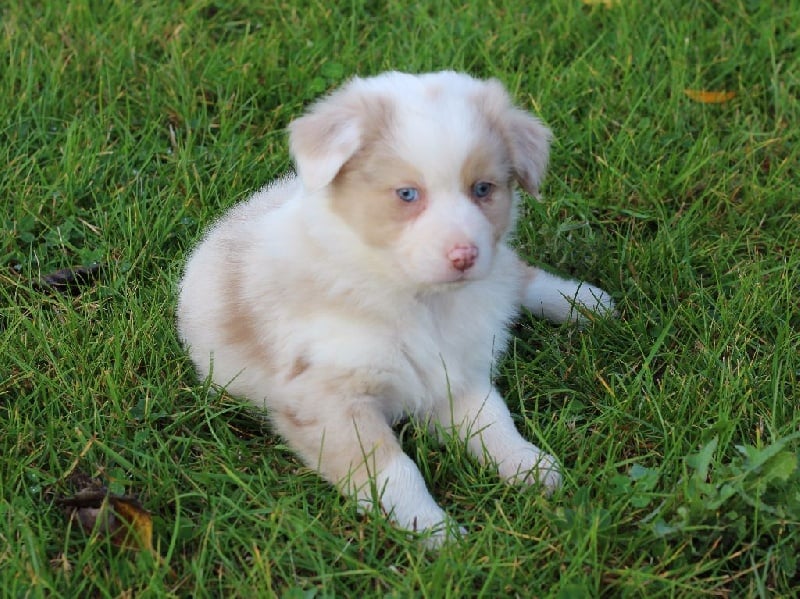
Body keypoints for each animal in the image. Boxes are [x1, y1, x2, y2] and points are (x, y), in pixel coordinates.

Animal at [177, 71, 615, 546]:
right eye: (407, 194)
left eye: (483, 189)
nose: (465, 255)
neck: (418, 298)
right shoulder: (330, 400)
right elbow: (394, 471)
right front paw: (437, 532)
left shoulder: (455, 369)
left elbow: (494, 421)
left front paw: (529, 465)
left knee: (517, 274)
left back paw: (587, 303)